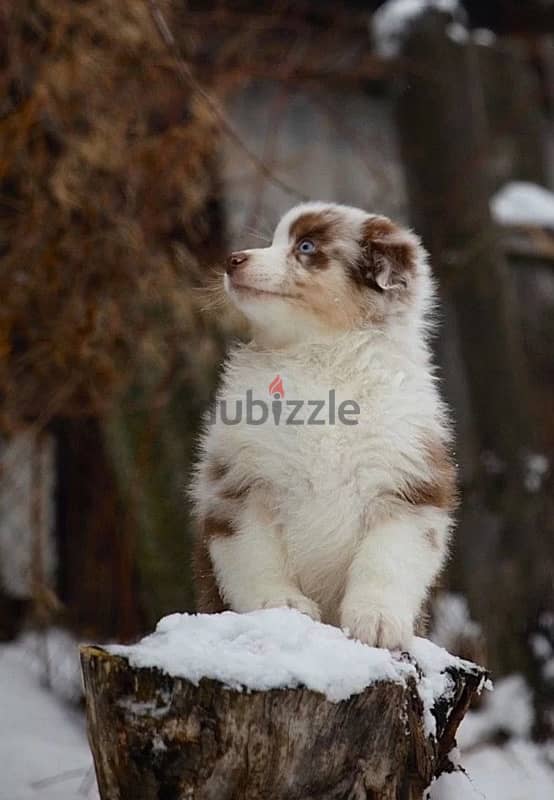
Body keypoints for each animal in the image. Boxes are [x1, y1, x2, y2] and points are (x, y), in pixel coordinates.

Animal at [188, 202, 454, 648]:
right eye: (275, 240)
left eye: (306, 247)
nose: (232, 260)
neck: (321, 353)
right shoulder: (240, 482)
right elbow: (256, 554)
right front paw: (280, 604)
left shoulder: (408, 485)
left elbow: (387, 558)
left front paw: (377, 619)